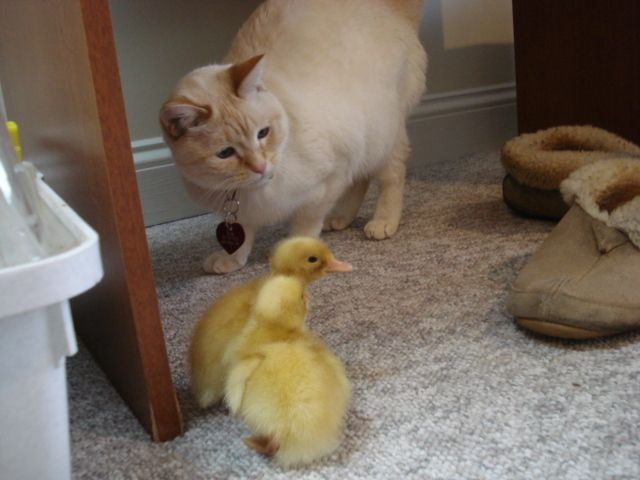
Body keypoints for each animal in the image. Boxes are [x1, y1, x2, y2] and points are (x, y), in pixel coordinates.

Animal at [160, 0, 427, 273]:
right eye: (225, 153)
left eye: (263, 133)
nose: (260, 167)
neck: (255, 191)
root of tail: (389, 5)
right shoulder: (241, 210)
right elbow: (242, 233)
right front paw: (231, 260)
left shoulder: (329, 180)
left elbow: (305, 225)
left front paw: (295, 255)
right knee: (360, 179)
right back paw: (340, 218)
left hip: (379, 134)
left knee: (391, 175)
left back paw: (382, 222)